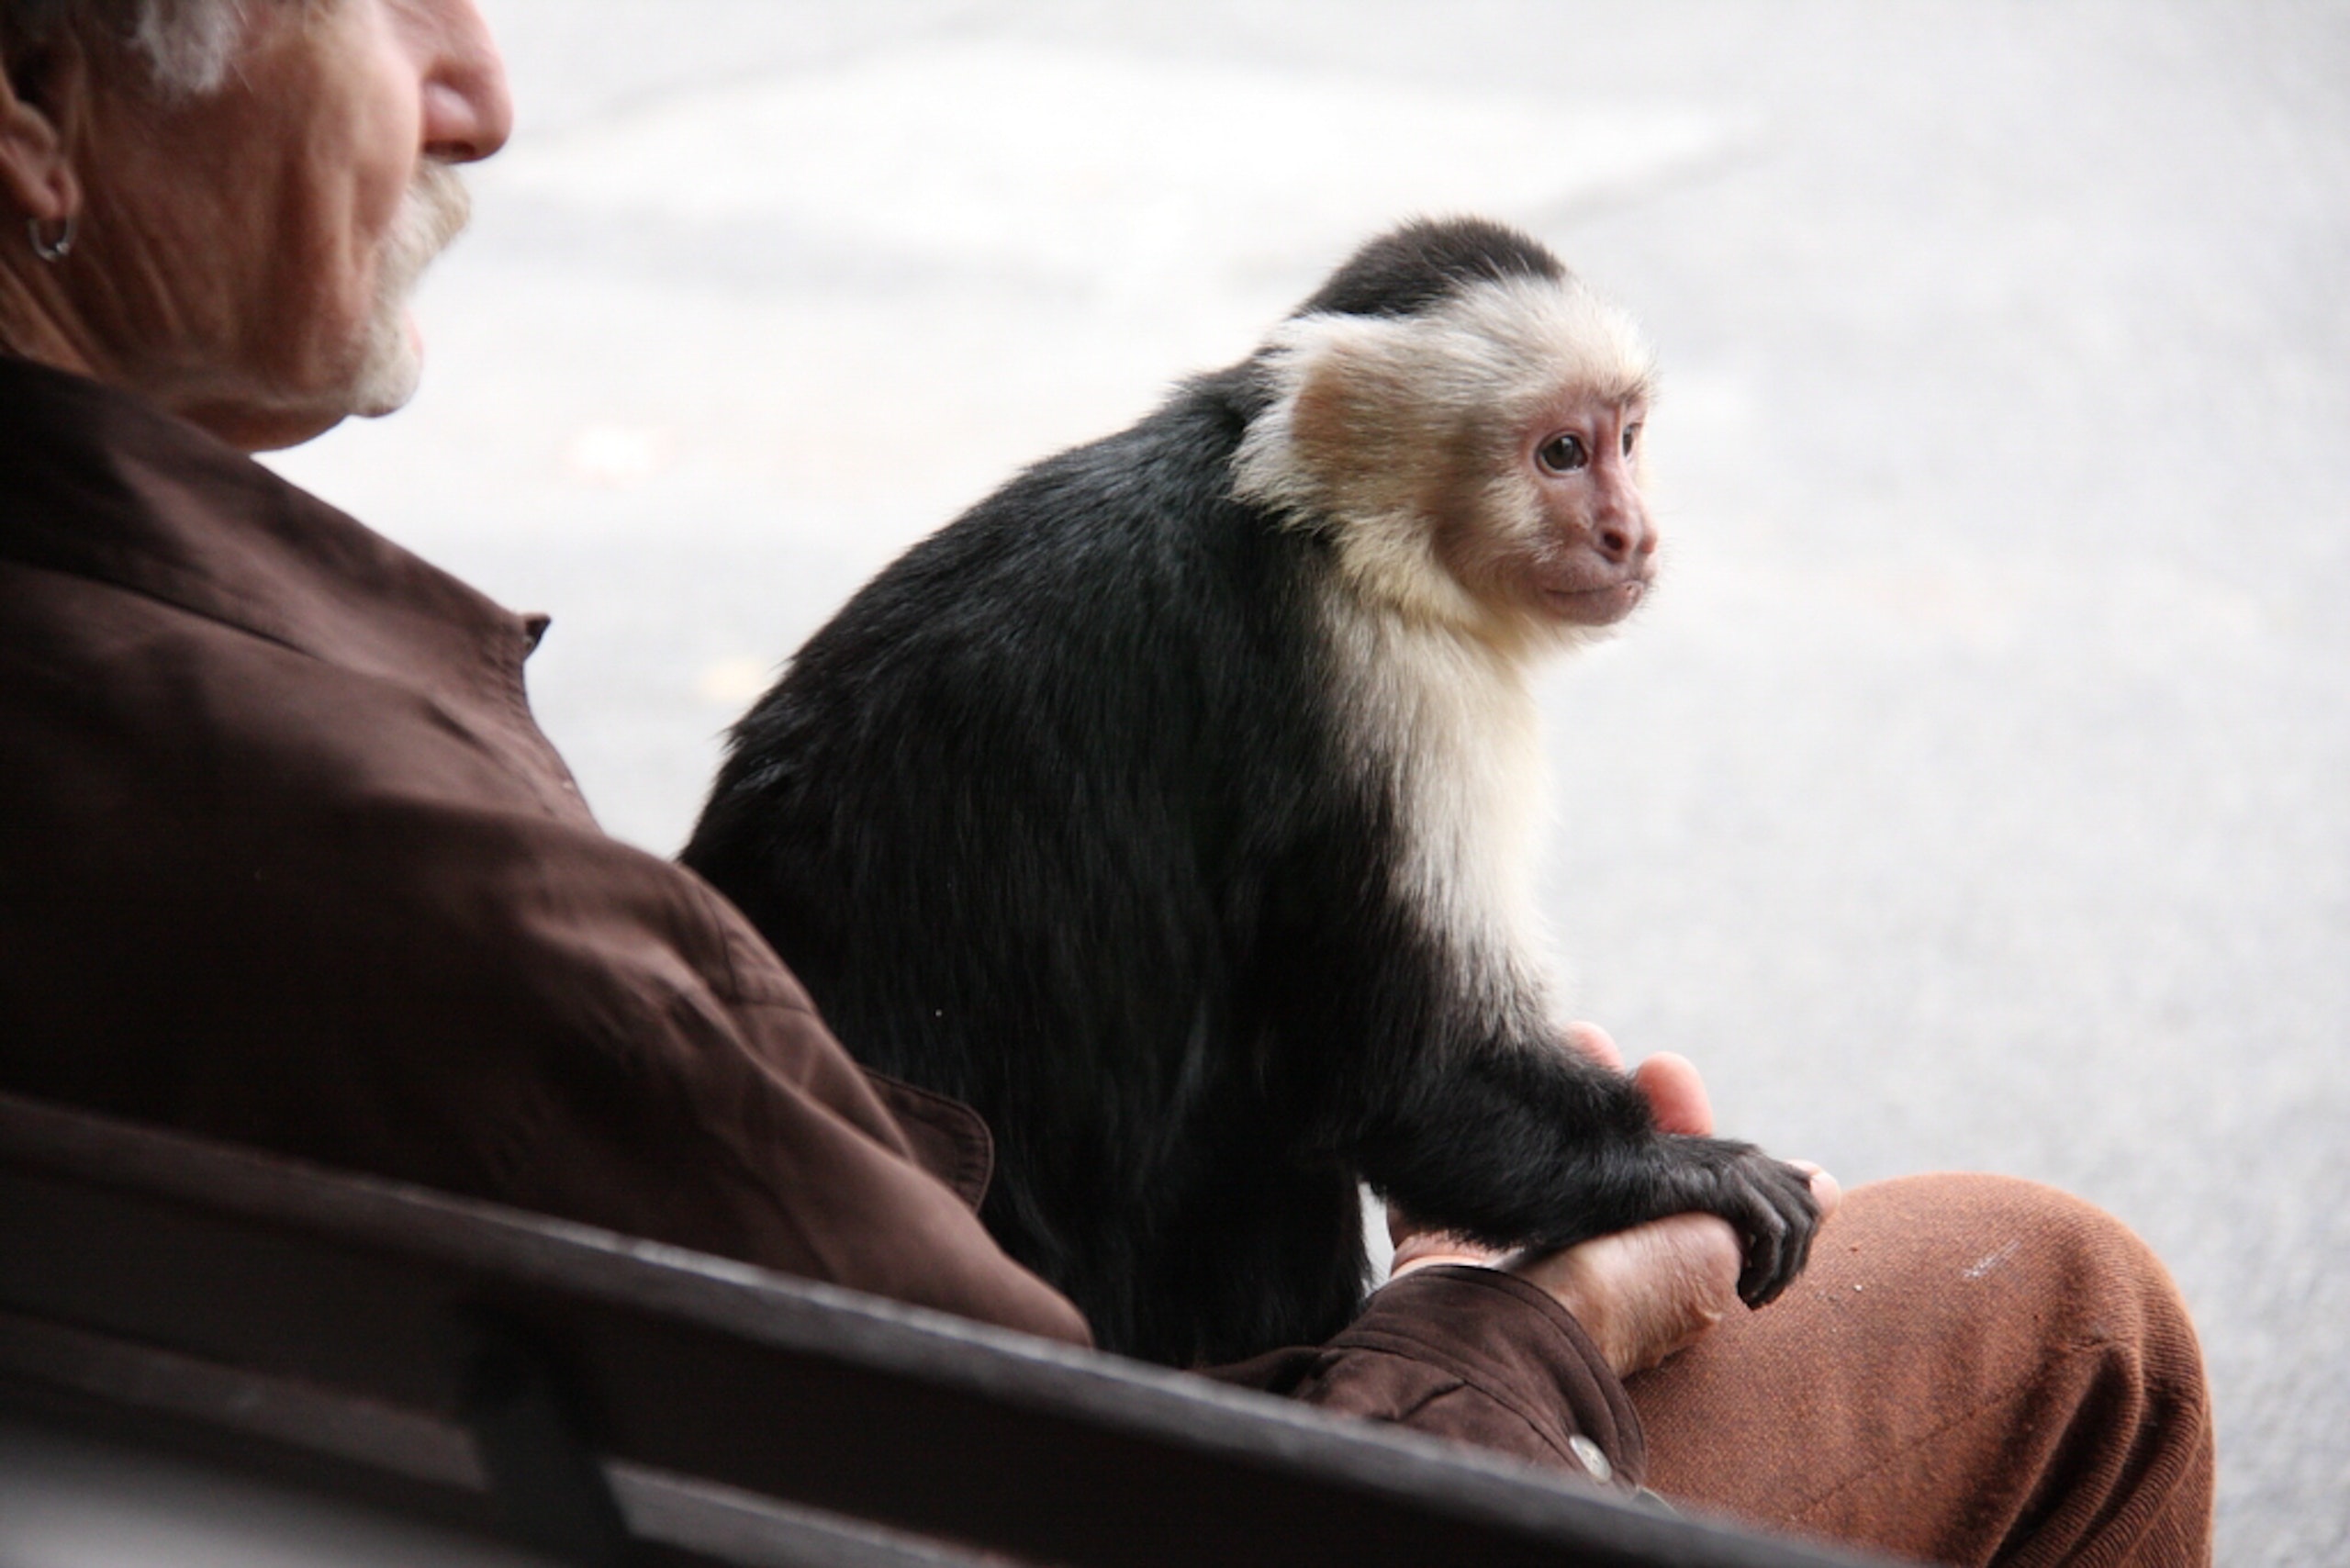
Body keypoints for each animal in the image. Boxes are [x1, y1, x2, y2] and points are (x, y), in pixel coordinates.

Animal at [682, 217, 1818, 1368]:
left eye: (1626, 438)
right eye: (1559, 454)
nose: (1633, 534)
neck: (1319, 524)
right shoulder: (1388, 674)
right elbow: (1395, 1076)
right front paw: (1680, 1173)